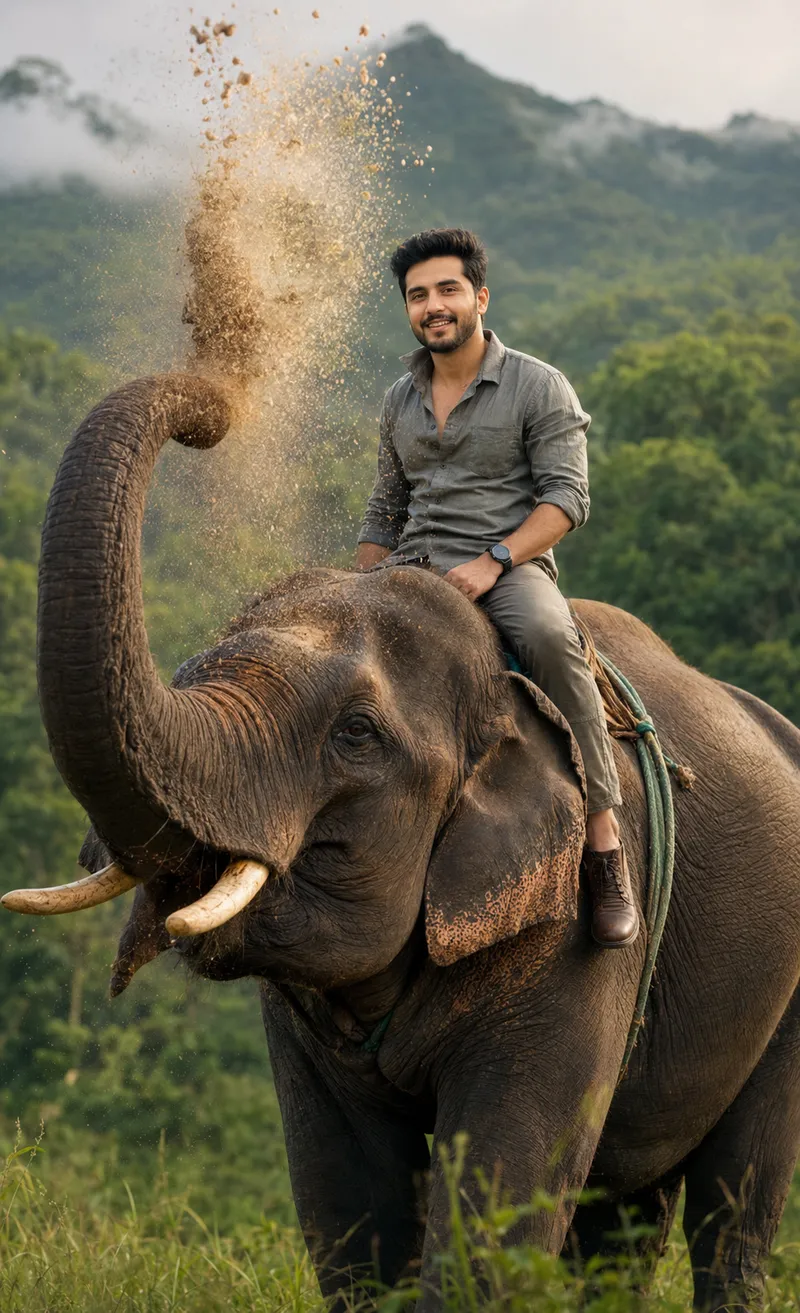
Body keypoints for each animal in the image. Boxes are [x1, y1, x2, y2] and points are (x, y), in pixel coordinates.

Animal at [5, 372, 800, 1312]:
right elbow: (349, 1197)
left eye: (356, 734)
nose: (215, 407)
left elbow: (499, 1192)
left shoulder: (574, 932)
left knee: (735, 1203)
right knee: (625, 1212)